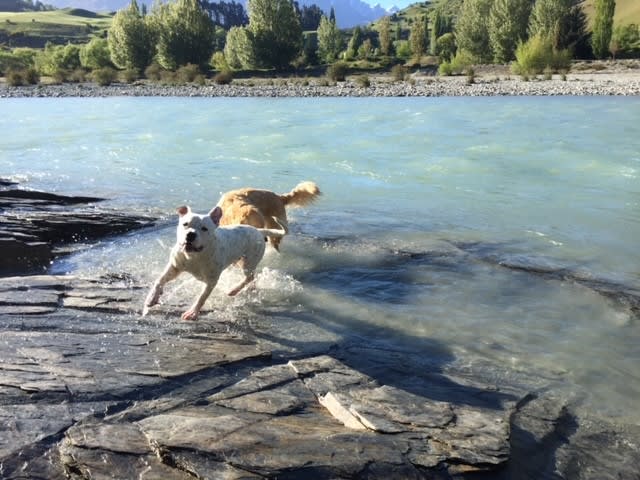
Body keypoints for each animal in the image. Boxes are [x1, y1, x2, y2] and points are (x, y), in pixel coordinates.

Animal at [145, 204, 288, 320]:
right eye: (185, 224)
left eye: (204, 228)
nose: (190, 234)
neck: (195, 256)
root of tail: (258, 231)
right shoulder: (174, 268)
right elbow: (159, 280)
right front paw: (152, 298)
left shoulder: (211, 281)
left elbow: (202, 297)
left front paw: (193, 312)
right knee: (252, 278)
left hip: (248, 262)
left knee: (250, 276)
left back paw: (234, 290)